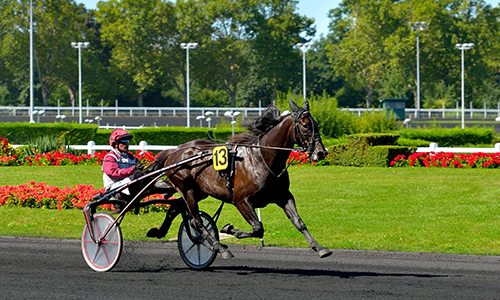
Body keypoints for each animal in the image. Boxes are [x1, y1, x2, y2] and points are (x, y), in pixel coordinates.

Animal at [146, 99, 332, 258]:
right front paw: (229, 229)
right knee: (196, 221)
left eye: (316, 124)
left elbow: (299, 222)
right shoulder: (241, 200)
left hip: (200, 191)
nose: (321, 152)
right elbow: (258, 228)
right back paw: (220, 247)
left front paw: (319, 248)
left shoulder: (283, 196)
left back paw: (159, 232)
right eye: (306, 125)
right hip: (187, 189)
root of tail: (173, 151)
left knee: (176, 207)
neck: (262, 159)